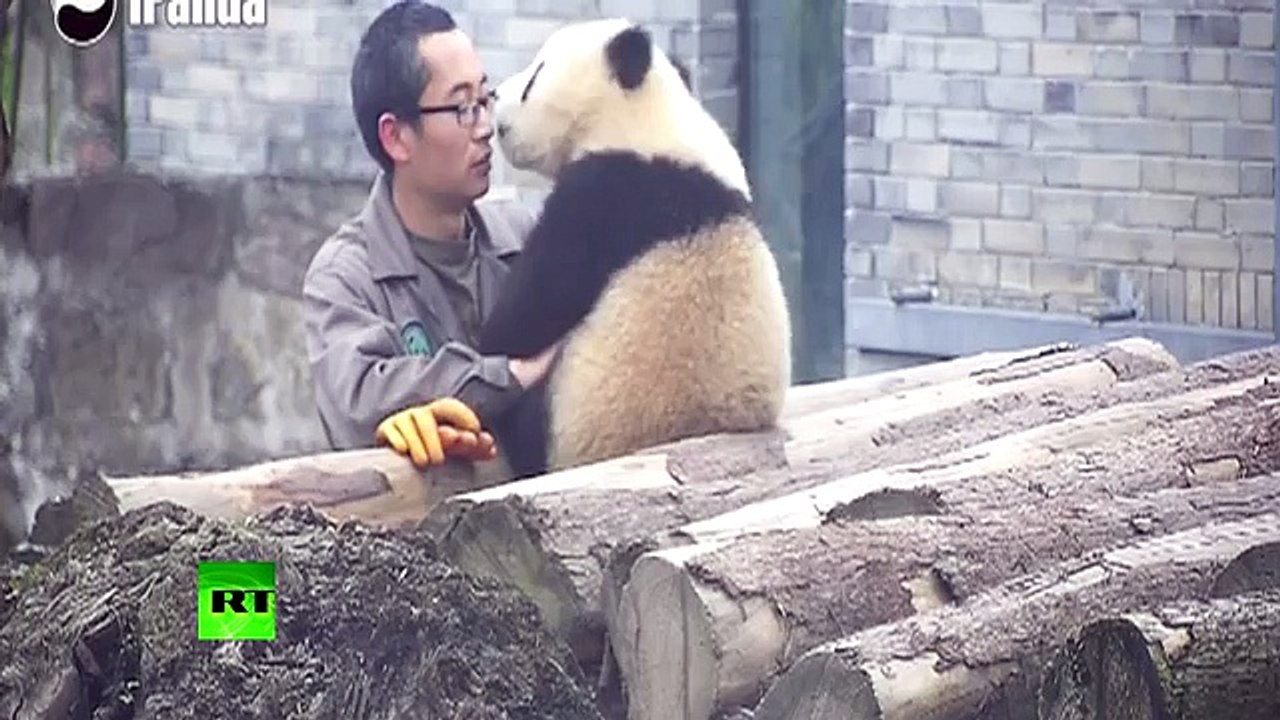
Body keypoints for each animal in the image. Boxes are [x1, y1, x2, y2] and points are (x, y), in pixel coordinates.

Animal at [476, 18, 792, 479]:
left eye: (535, 78)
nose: (495, 94)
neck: (644, 116)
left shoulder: (605, 196)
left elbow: (527, 313)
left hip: (571, 416)